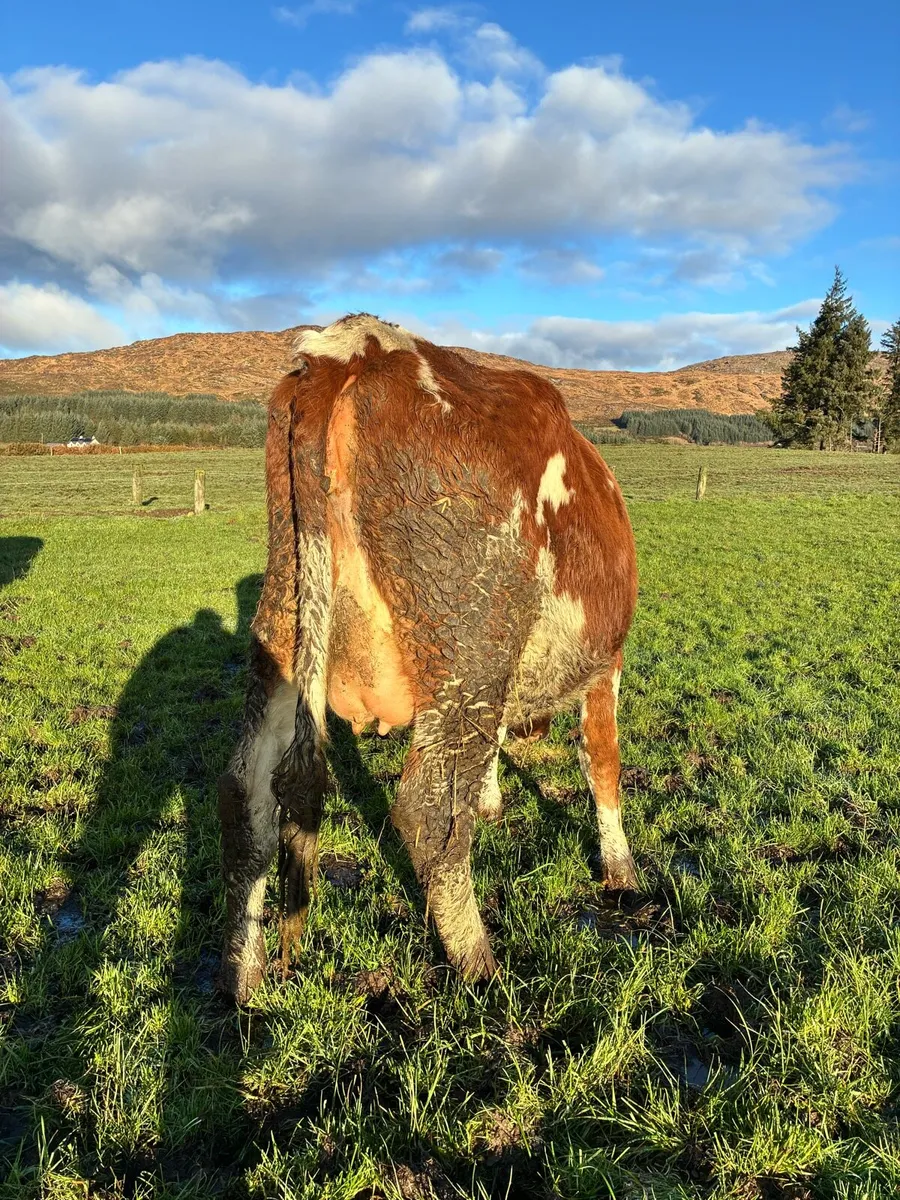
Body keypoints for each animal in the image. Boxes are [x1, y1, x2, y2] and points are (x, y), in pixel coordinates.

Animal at [217, 313, 638, 1003]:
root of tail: (355, 347)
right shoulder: (606, 664)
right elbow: (602, 762)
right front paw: (622, 870)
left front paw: (491, 799)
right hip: (470, 649)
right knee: (427, 815)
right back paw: (480, 967)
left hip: (284, 627)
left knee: (246, 796)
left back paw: (243, 978)